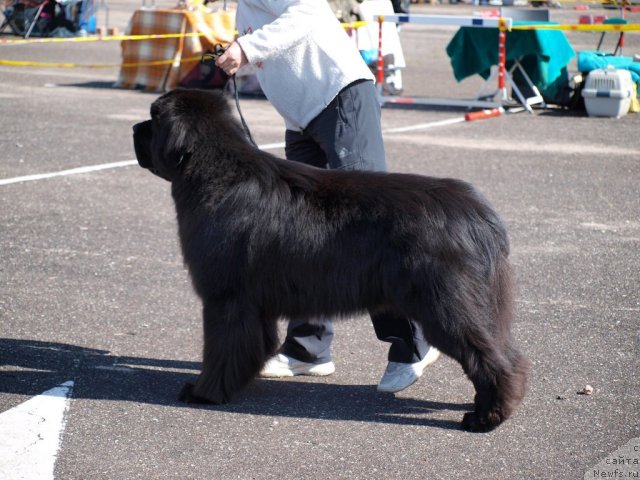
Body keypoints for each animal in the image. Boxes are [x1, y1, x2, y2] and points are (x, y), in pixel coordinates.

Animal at [132, 88, 528, 434]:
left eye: (154, 116)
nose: (135, 129)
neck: (215, 173)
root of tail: (480, 213)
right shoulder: (254, 304)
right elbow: (250, 346)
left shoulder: (226, 298)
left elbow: (221, 349)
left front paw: (204, 392)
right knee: (507, 353)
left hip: (447, 305)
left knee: (489, 357)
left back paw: (486, 418)